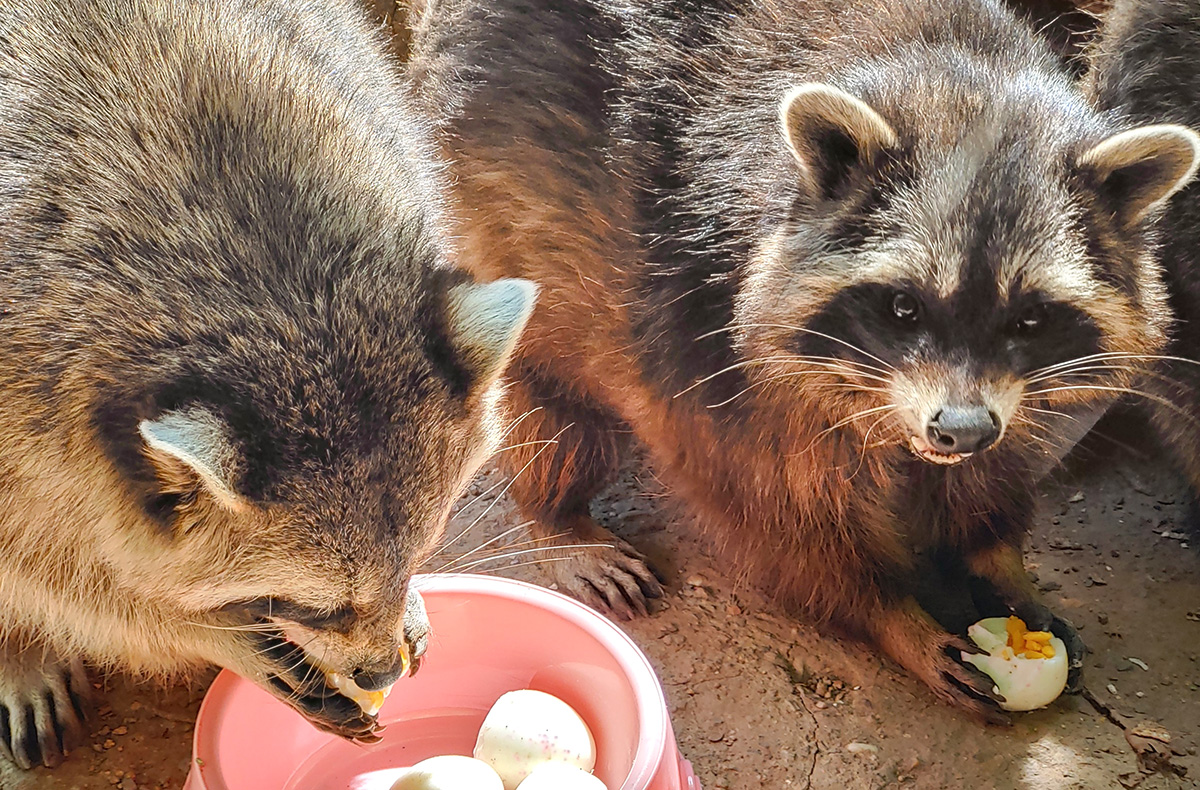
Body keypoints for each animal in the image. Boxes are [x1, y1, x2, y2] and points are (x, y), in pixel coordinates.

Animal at [0, 0, 535, 770]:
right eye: (316, 608)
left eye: (420, 556)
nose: (381, 669)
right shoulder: (26, 422)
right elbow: (64, 580)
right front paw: (214, 634)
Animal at [409, 0, 1198, 720]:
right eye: (903, 306)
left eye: (1029, 317)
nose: (959, 430)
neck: (964, 82)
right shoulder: (703, 325)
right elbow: (779, 511)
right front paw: (890, 611)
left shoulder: (1011, 395)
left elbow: (990, 470)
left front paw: (995, 554)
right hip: (489, 198)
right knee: (556, 397)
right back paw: (558, 510)